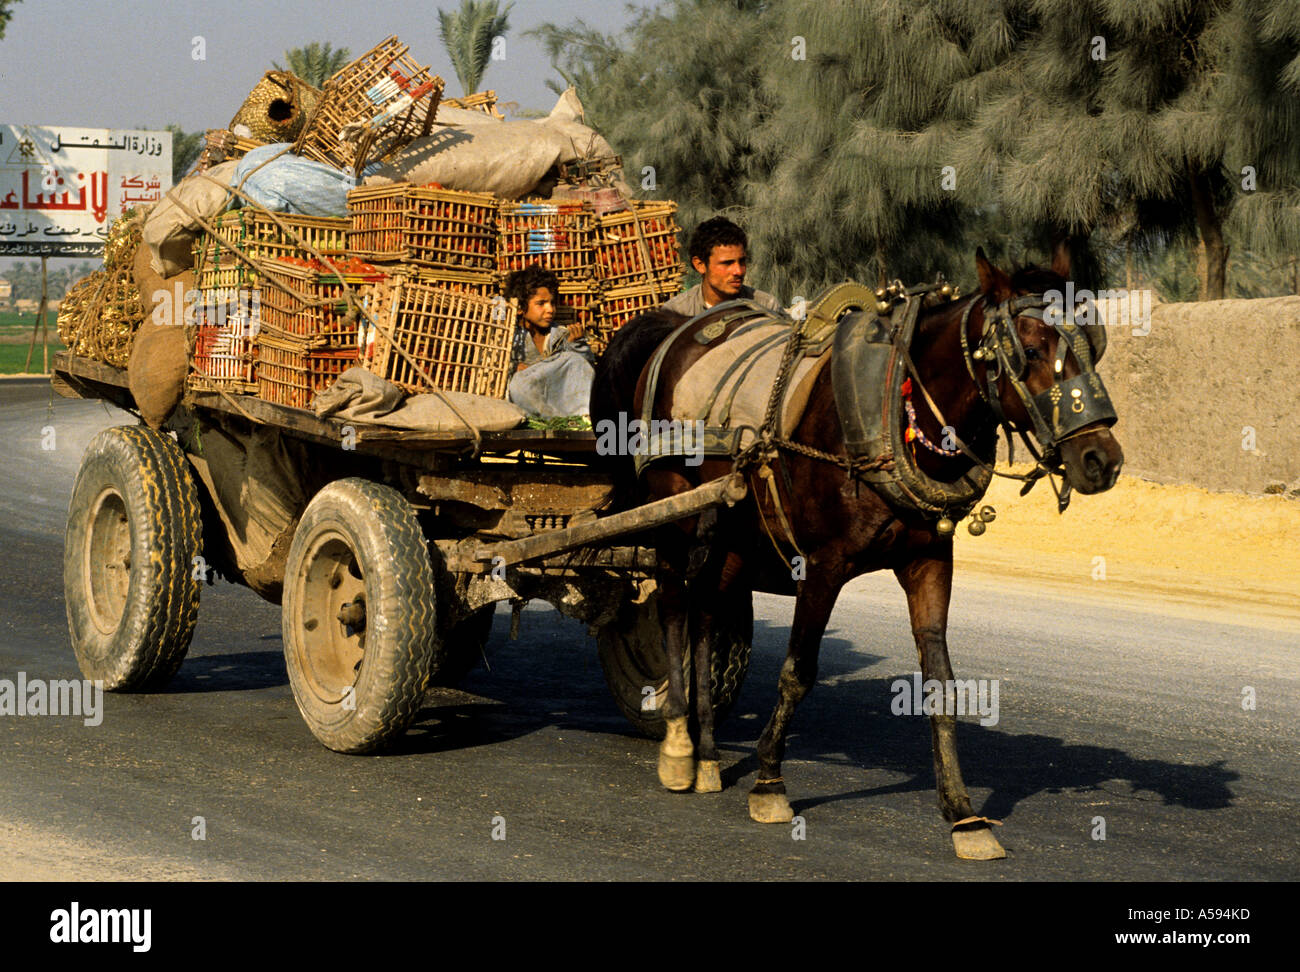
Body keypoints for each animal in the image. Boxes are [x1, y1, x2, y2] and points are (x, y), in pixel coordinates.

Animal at [592, 244, 1128, 857]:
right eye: (1032, 349)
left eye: (1095, 345)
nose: (1101, 460)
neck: (890, 409)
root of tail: (674, 329)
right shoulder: (821, 565)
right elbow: (798, 671)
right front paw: (769, 783)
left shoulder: (929, 562)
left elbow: (940, 682)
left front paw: (964, 814)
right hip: (671, 513)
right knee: (675, 607)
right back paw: (679, 747)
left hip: (728, 529)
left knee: (707, 614)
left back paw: (706, 756)